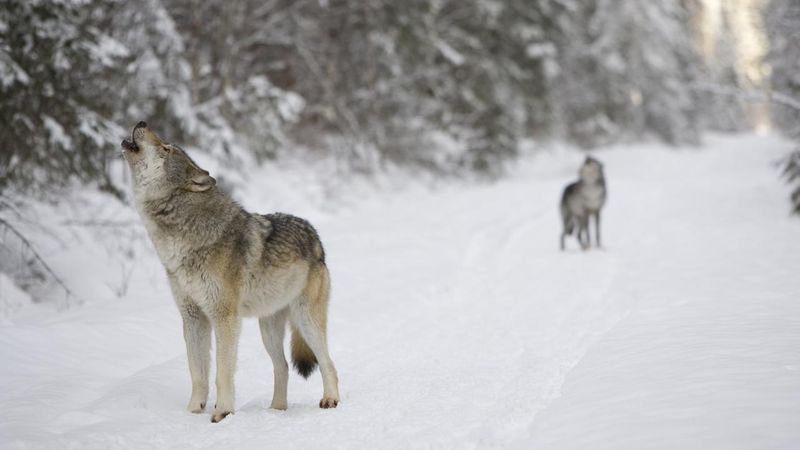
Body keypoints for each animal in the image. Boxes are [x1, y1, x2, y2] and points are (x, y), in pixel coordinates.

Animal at [120, 120, 340, 422]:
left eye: (166, 149)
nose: (141, 122)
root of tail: (315, 236)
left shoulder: (224, 317)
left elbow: (222, 372)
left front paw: (222, 412)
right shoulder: (193, 318)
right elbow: (198, 374)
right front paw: (193, 412)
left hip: (306, 320)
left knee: (328, 362)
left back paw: (330, 399)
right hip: (268, 329)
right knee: (282, 366)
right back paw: (276, 410)